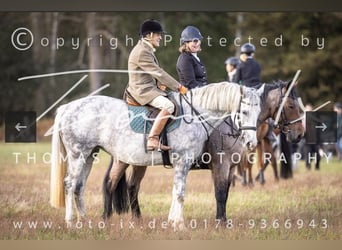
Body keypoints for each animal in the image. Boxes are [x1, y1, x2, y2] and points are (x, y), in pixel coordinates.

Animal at [49, 81, 262, 229]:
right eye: (244, 111)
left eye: (258, 111)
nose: (251, 143)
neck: (195, 116)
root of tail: (67, 108)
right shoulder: (189, 163)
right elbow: (185, 193)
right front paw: (181, 225)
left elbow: (179, 192)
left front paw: (173, 222)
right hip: (78, 155)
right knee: (70, 184)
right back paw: (71, 222)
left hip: (90, 156)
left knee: (81, 187)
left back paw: (86, 221)